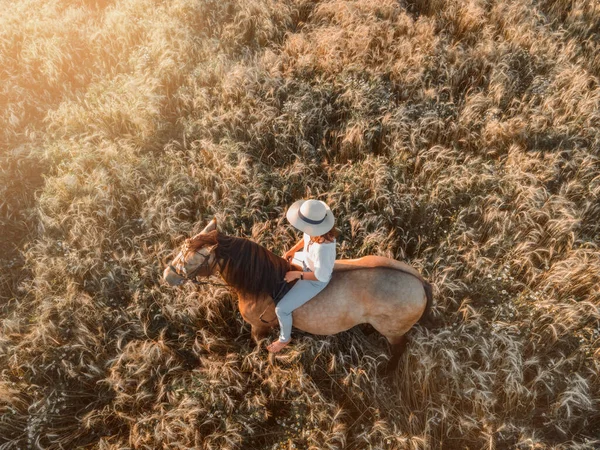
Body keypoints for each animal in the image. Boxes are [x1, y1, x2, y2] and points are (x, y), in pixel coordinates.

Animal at [162, 219, 434, 372]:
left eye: (192, 259)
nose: (167, 275)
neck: (263, 283)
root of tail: (420, 283)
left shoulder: (259, 327)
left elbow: (259, 344)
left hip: (394, 332)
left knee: (399, 349)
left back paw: (387, 372)